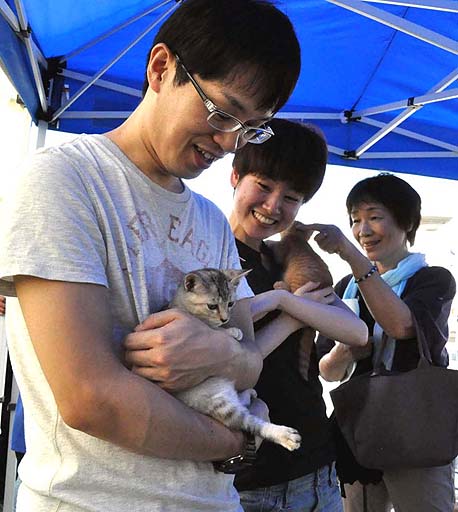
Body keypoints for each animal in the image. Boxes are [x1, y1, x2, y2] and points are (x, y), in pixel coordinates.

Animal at [170, 268, 302, 452]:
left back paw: (248, 393)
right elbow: (213, 330)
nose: (225, 319)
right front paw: (231, 331)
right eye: (212, 306)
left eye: (231, 303)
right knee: (251, 422)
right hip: (220, 405)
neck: (181, 304)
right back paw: (285, 435)